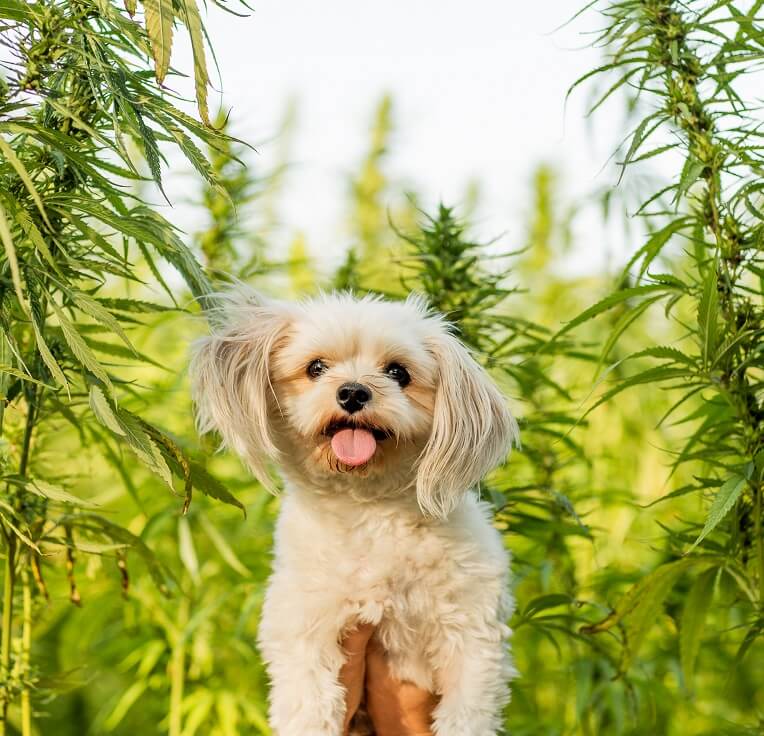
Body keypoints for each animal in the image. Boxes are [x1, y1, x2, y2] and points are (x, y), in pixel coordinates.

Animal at [190, 288, 520, 736]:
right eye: (316, 368)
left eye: (398, 372)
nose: (352, 392)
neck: (367, 507)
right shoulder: (302, 624)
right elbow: (309, 703)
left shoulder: (472, 630)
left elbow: (466, 711)